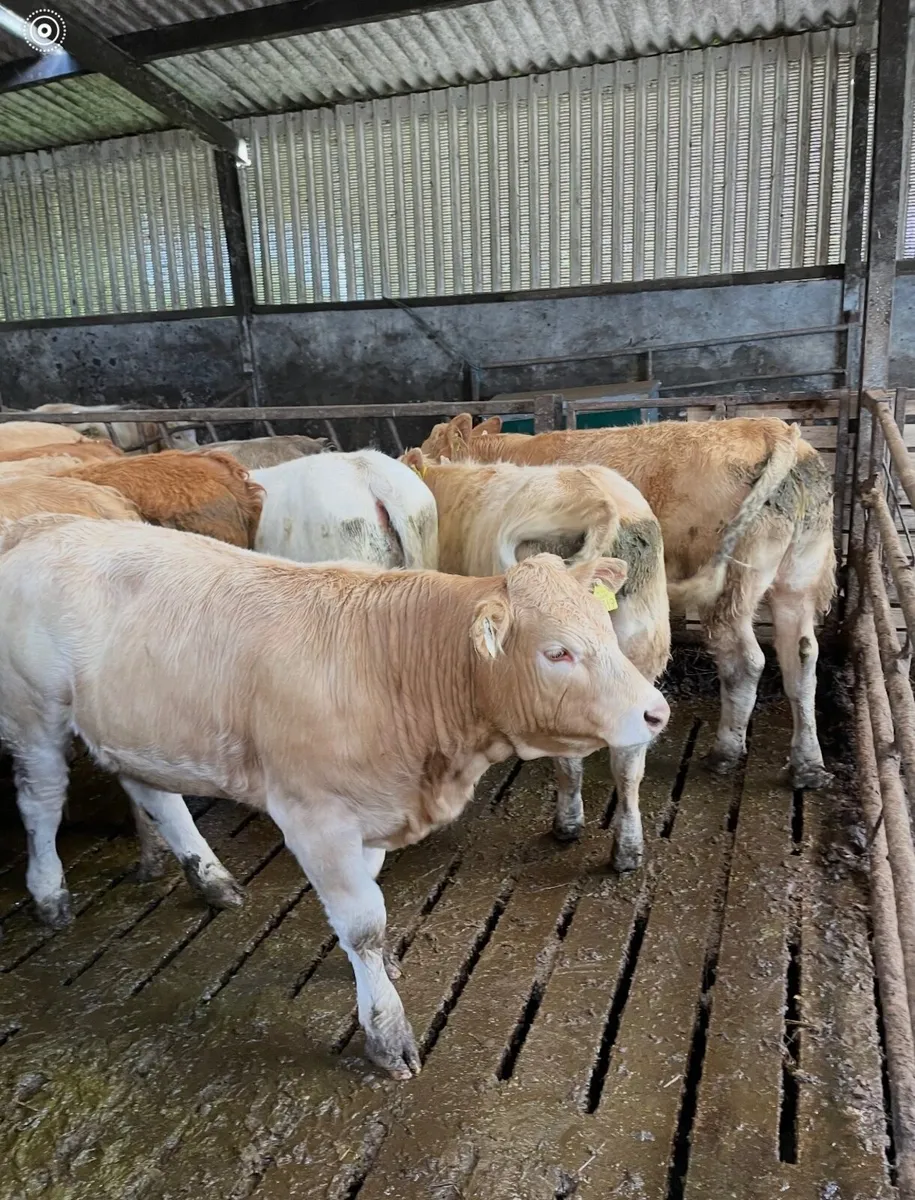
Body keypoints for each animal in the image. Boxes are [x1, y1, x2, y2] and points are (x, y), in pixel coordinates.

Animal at [0, 515, 669, 1076]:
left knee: (155, 793)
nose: (656, 712)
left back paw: (209, 878)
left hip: (136, 726)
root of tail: (47, 523)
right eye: (557, 652)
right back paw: (51, 895)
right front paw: (387, 1034)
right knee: (40, 801)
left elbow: (367, 908)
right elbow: (363, 923)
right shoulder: (315, 816)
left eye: (605, 628)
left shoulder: (371, 808)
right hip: (35, 715)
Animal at [403, 450, 670, 868]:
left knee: (569, 757)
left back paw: (567, 824)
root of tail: (599, 503)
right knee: (628, 765)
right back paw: (627, 850)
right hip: (636, 660)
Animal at [420, 413, 836, 791]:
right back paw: (808, 766)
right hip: (798, 576)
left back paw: (725, 753)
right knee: (801, 654)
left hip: (731, 586)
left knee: (745, 661)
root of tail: (771, 428)